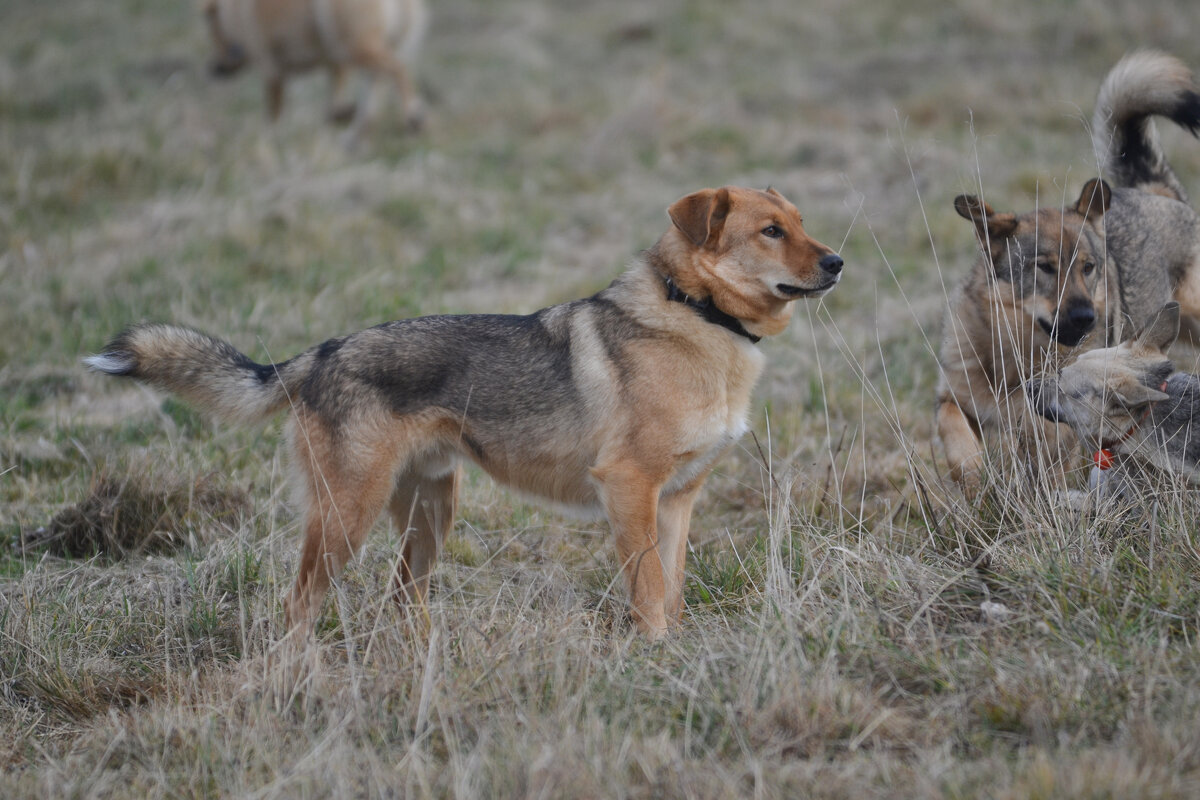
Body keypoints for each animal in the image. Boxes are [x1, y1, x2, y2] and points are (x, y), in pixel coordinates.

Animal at [84, 184, 844, 642]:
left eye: (802, 225)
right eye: (771, 232)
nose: (838, 261)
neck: (697, 315)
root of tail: (318, 356)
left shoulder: (677, 499)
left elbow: (674, 587)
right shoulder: (628, 489)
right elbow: (651, 593)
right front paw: (655, 655)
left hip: (430, 511)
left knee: (400, 596)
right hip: (347, 514)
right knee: (300, 605)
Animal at [205, 0, 427, 140]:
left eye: (210, 23)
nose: (214, 69)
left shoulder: (270, 68)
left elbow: (273, 115)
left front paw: (270, 138)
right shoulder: (336, 64)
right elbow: (333, 105)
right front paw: (342, 113)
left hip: (355, 46)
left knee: (398, 69)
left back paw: (413, 114)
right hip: (361, 49)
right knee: (376, 93)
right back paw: (354, 137)